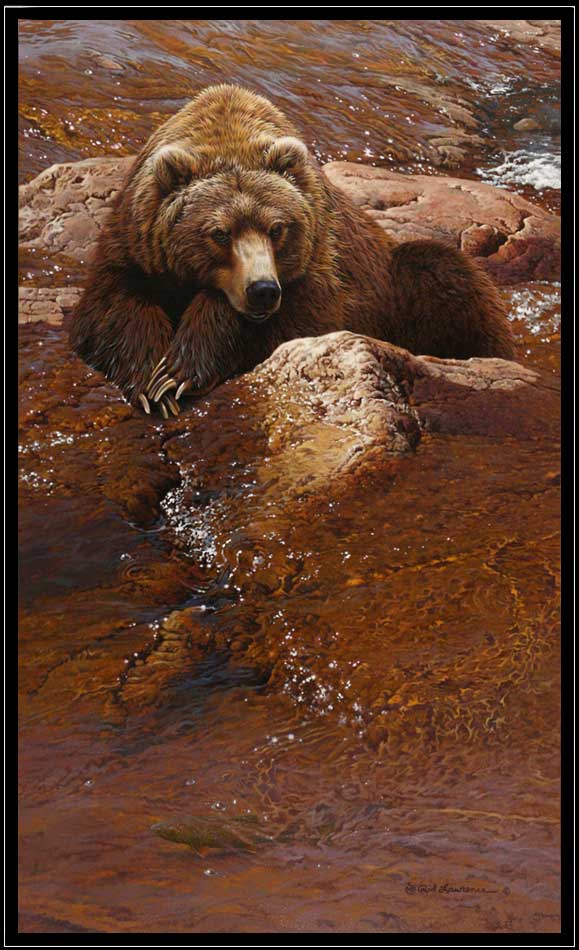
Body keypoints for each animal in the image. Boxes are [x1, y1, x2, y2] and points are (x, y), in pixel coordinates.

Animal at [70, 84, 515, 417]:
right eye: (219, 233)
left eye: (277, 228)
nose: (263, 291)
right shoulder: (134, 243)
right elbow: (111, 308)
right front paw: (153, 379)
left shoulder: (321, 263)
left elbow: (299, 322)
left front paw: (181, 370)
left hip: (398, 280)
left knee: (445, 273)